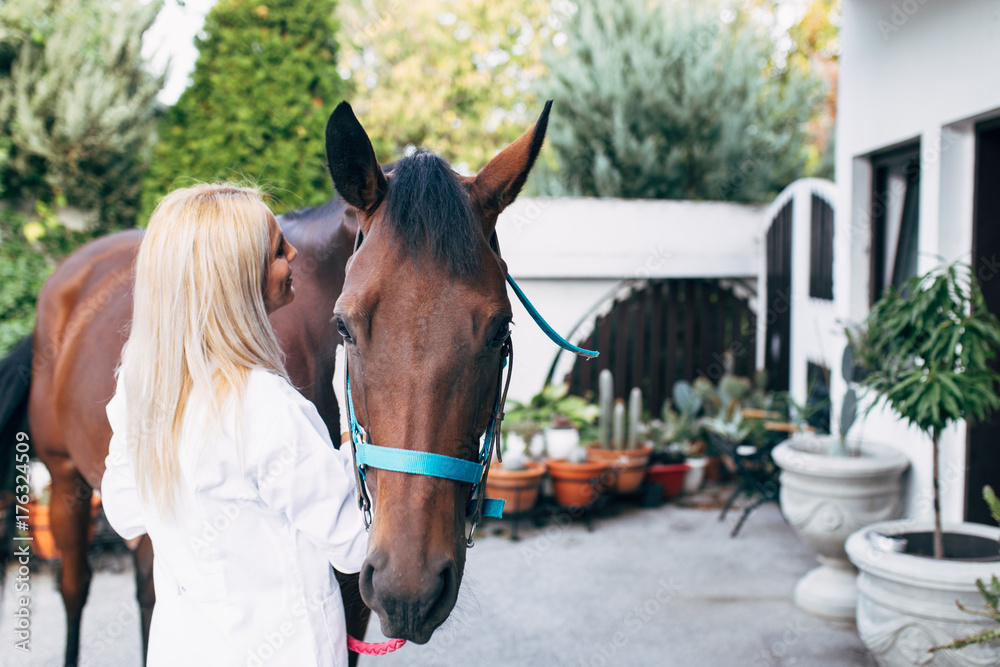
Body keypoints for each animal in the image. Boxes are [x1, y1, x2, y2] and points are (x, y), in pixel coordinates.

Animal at [0, 99, 551, 664]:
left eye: (499, 330)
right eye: (343, 327)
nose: (409, 587)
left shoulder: (355, 590)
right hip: (65, 481)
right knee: (75, 586)